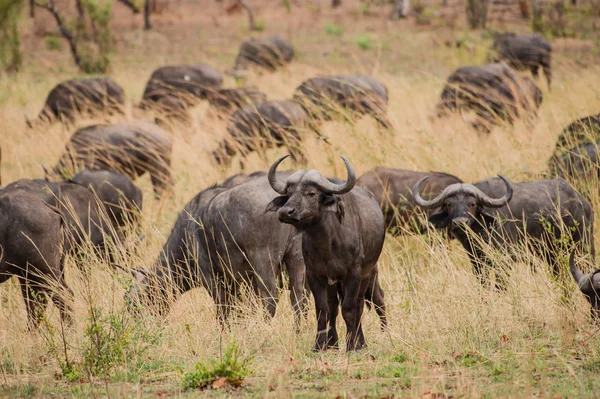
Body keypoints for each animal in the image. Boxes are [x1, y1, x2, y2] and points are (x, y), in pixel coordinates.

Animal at [266, 155, 386, 352]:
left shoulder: (353, 275)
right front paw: (319, 345)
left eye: (311, 193)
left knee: (359, 305)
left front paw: (352, 345)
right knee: (333, 306)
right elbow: (322, 309)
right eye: (289, 194)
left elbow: (350, 308)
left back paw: (360, 342)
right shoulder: (315, 275)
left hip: (367, 274)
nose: (285, 212)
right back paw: (333, 343)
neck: (327, 244)